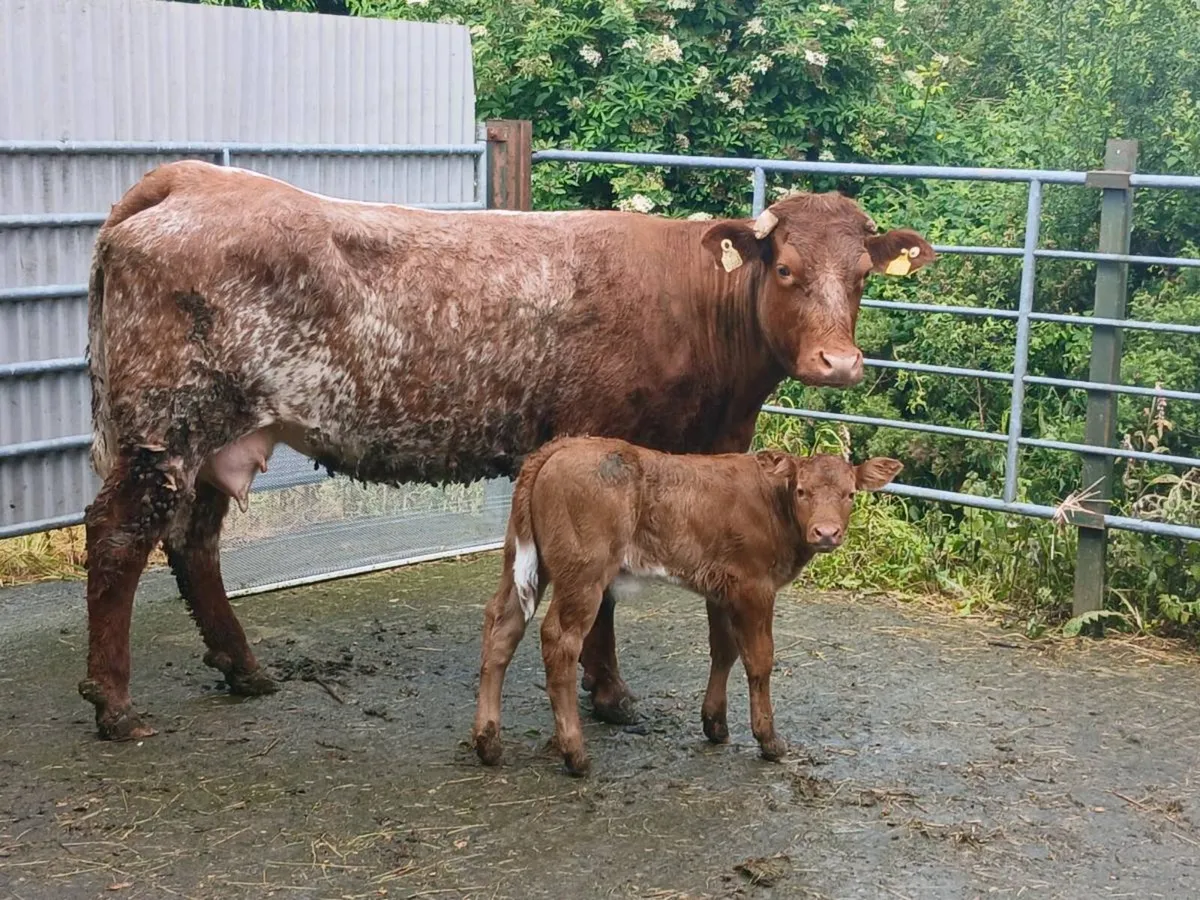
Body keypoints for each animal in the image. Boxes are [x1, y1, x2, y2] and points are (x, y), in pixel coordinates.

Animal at [80, 159, 935, 740]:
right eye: (785, 269)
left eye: (864, 276)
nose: (839, 364)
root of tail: (189, 179)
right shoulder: (599, 448)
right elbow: (600, 601)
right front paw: (611, 695)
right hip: (166, 423)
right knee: (119, 536)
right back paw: (114, 704)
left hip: (215, 433)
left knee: (194, 541)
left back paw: (244, 669)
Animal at [471, 436, 903, 774]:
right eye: (802, 491)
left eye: (850, 494)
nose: (826, 533)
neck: (772, 503)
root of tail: (561, 446)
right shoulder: (755, 587)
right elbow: (760, 659)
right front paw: (769, 740)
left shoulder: (722, 589)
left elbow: (724, 650)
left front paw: (715, 724)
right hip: (583, 573)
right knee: (559, 640)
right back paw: (575, 754)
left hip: (523, 560)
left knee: (502, 624)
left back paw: (488, 742)